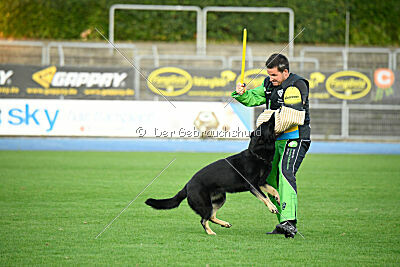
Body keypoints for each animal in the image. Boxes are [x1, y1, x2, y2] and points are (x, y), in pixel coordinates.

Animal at [145, 116, 280, 236]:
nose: (275, 113)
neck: (257, 155)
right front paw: (272, 207)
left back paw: (224, 224)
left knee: (211, 216)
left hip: (220, 199)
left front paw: (277, 198)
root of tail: (187, 185)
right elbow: (264, 197)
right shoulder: (253, 186)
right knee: (204, 219)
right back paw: (210, 232)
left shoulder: (261, 183)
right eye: (267, 124)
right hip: (207, 204)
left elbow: (273, 190)